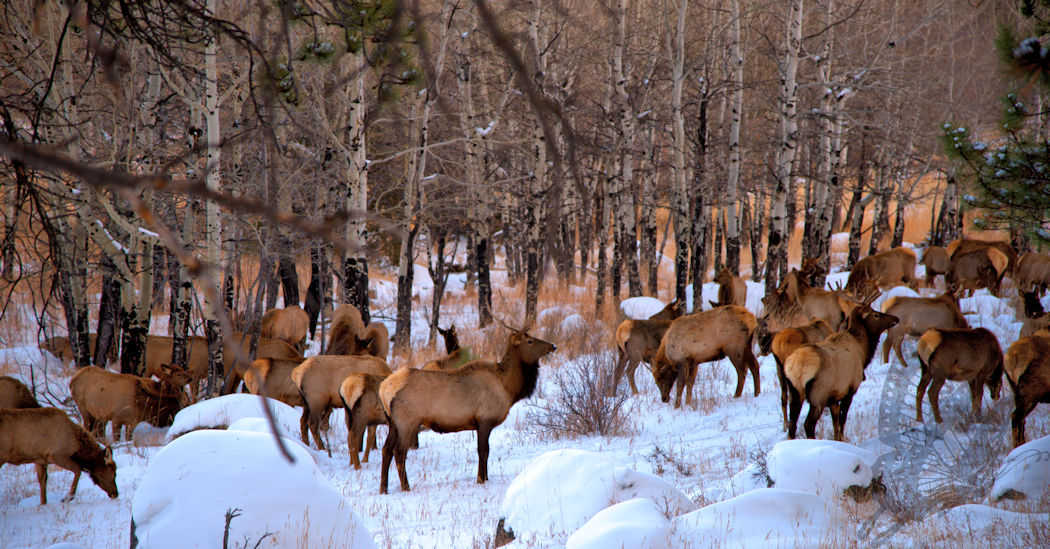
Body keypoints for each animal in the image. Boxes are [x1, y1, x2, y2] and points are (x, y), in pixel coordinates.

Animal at [379, 330, 556, 493]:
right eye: (530, 341)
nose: (552, 346)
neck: (508, 389)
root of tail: (383, 388)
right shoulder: (485, 419)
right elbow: (483, 451)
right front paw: (481, 480)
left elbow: (486, 451)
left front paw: (486, 477)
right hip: (407, 421)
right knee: (399, 452)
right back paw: (406, 487)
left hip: (392, 422)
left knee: (386, 449)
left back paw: (383, 489)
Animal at [784, 295, 898, 441]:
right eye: (876, 314)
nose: (896, 318)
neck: (863, 352)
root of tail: (796, 367)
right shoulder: (850, 388)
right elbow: (842, 420)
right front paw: (842, 440)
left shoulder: (834, 396)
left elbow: (835, 422)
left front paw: (837, 439)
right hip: (818, 395)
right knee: (808, 424)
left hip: (794, 391)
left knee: (792, 423)